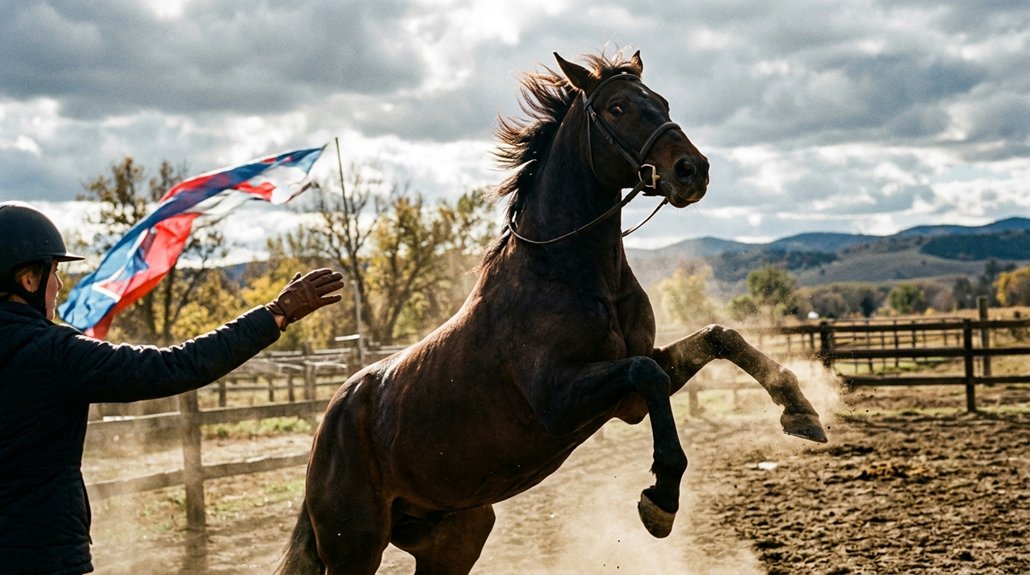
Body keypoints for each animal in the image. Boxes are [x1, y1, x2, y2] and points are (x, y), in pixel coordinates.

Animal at [278, 49, 826, 575]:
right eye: (617, 107)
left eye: (663, 102)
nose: (693, 170)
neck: (570, 275)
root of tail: (329, 426)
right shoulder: (559, 400)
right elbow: (645, 372)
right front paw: (660, 499)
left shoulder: (627, 398)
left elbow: (717, 337)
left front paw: (799, 410)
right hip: (355, 548)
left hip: (454, 538)